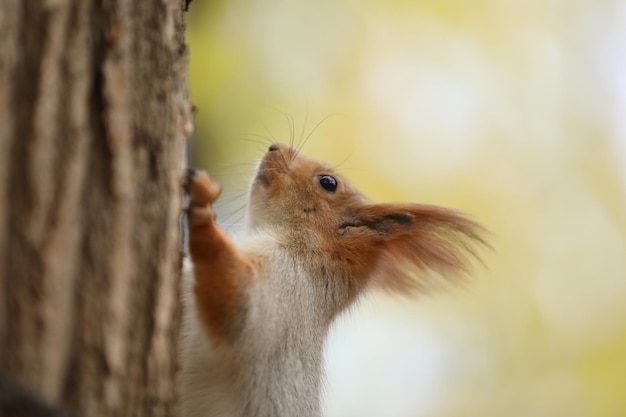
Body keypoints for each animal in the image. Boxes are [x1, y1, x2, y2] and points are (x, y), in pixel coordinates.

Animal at [178, 142, 486, 416]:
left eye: (328, 183)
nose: (274, 146)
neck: (307, 251)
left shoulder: (286, 284)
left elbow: (237, 306)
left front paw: (202, 208)